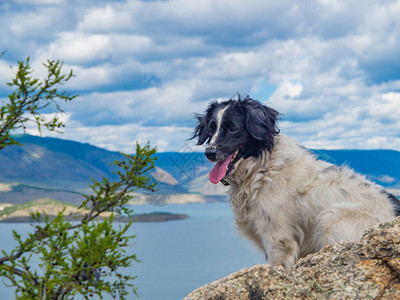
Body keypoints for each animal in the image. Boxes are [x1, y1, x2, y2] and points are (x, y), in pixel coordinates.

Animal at [191, 95, 400, 268]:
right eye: (211, 129)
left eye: (232, 129)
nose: (209, 153)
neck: (262, 168)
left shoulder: (278, 240)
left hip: (329, 218)